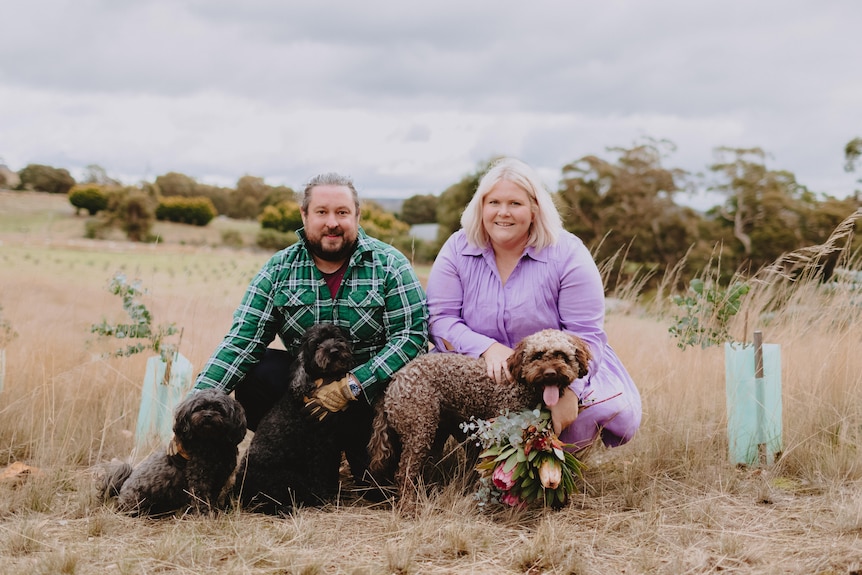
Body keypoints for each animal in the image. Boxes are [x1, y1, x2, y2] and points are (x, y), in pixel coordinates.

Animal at [98, 392, 246, 516]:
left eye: (219, 409)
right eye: (199, 408)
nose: (208, 415)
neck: (212, 443)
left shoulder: (219, 478)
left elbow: (212, 496)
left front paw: (213, 510)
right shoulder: (199, 478)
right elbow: (201, 497)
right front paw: (204, 514)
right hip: (137, 499)